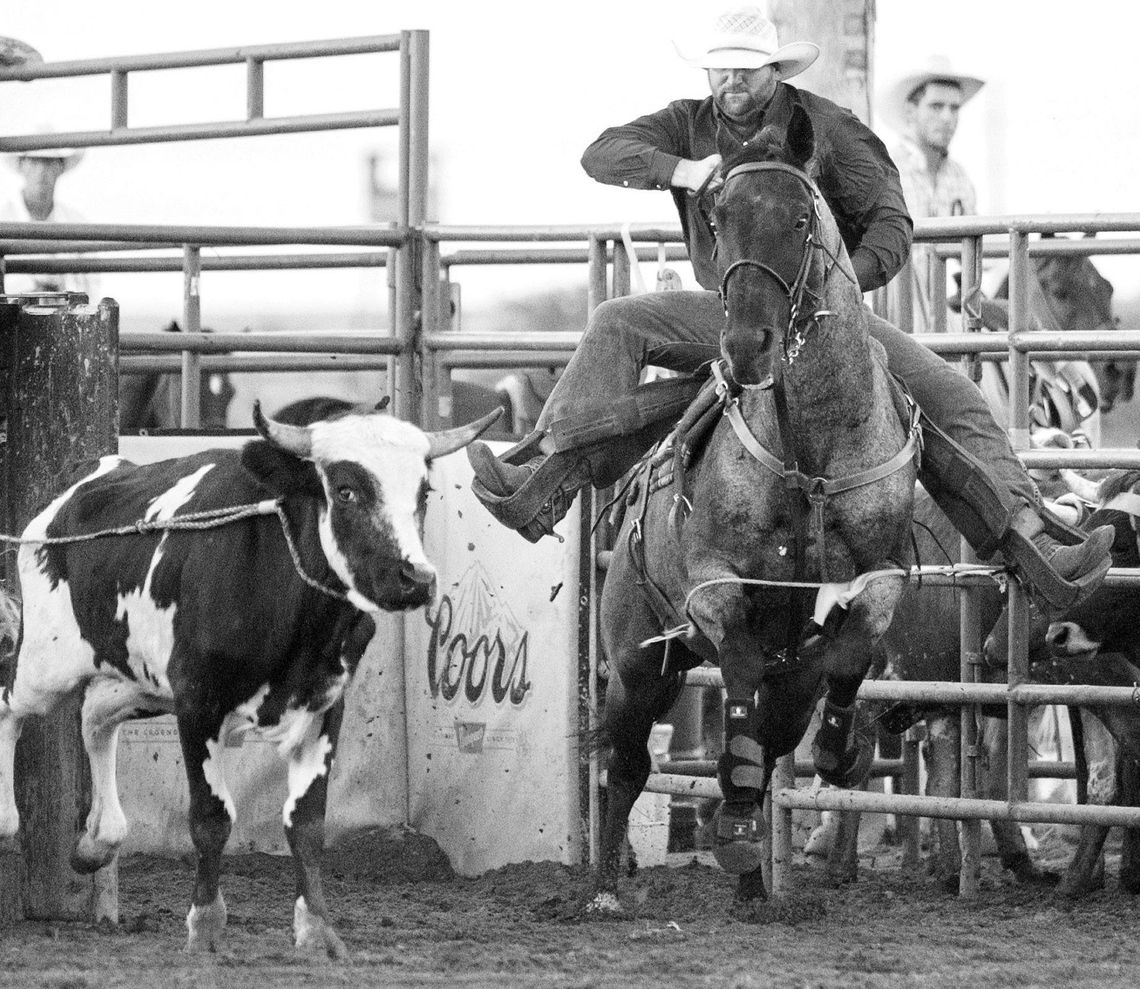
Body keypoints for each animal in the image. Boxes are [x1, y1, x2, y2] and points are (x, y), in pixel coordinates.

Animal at [592, 105, 921, 911]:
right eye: (718, 216)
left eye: (801, 217)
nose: (745, 344)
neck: (814, 452)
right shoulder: (714, 587)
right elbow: (736, 668)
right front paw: (738, 817)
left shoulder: (880, 580)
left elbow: (850, 656)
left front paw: (838, 748)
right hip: (635, 662)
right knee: (627, 763)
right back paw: (607, 883)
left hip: (761, 674)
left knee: (772, 733)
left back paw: (751, 884)